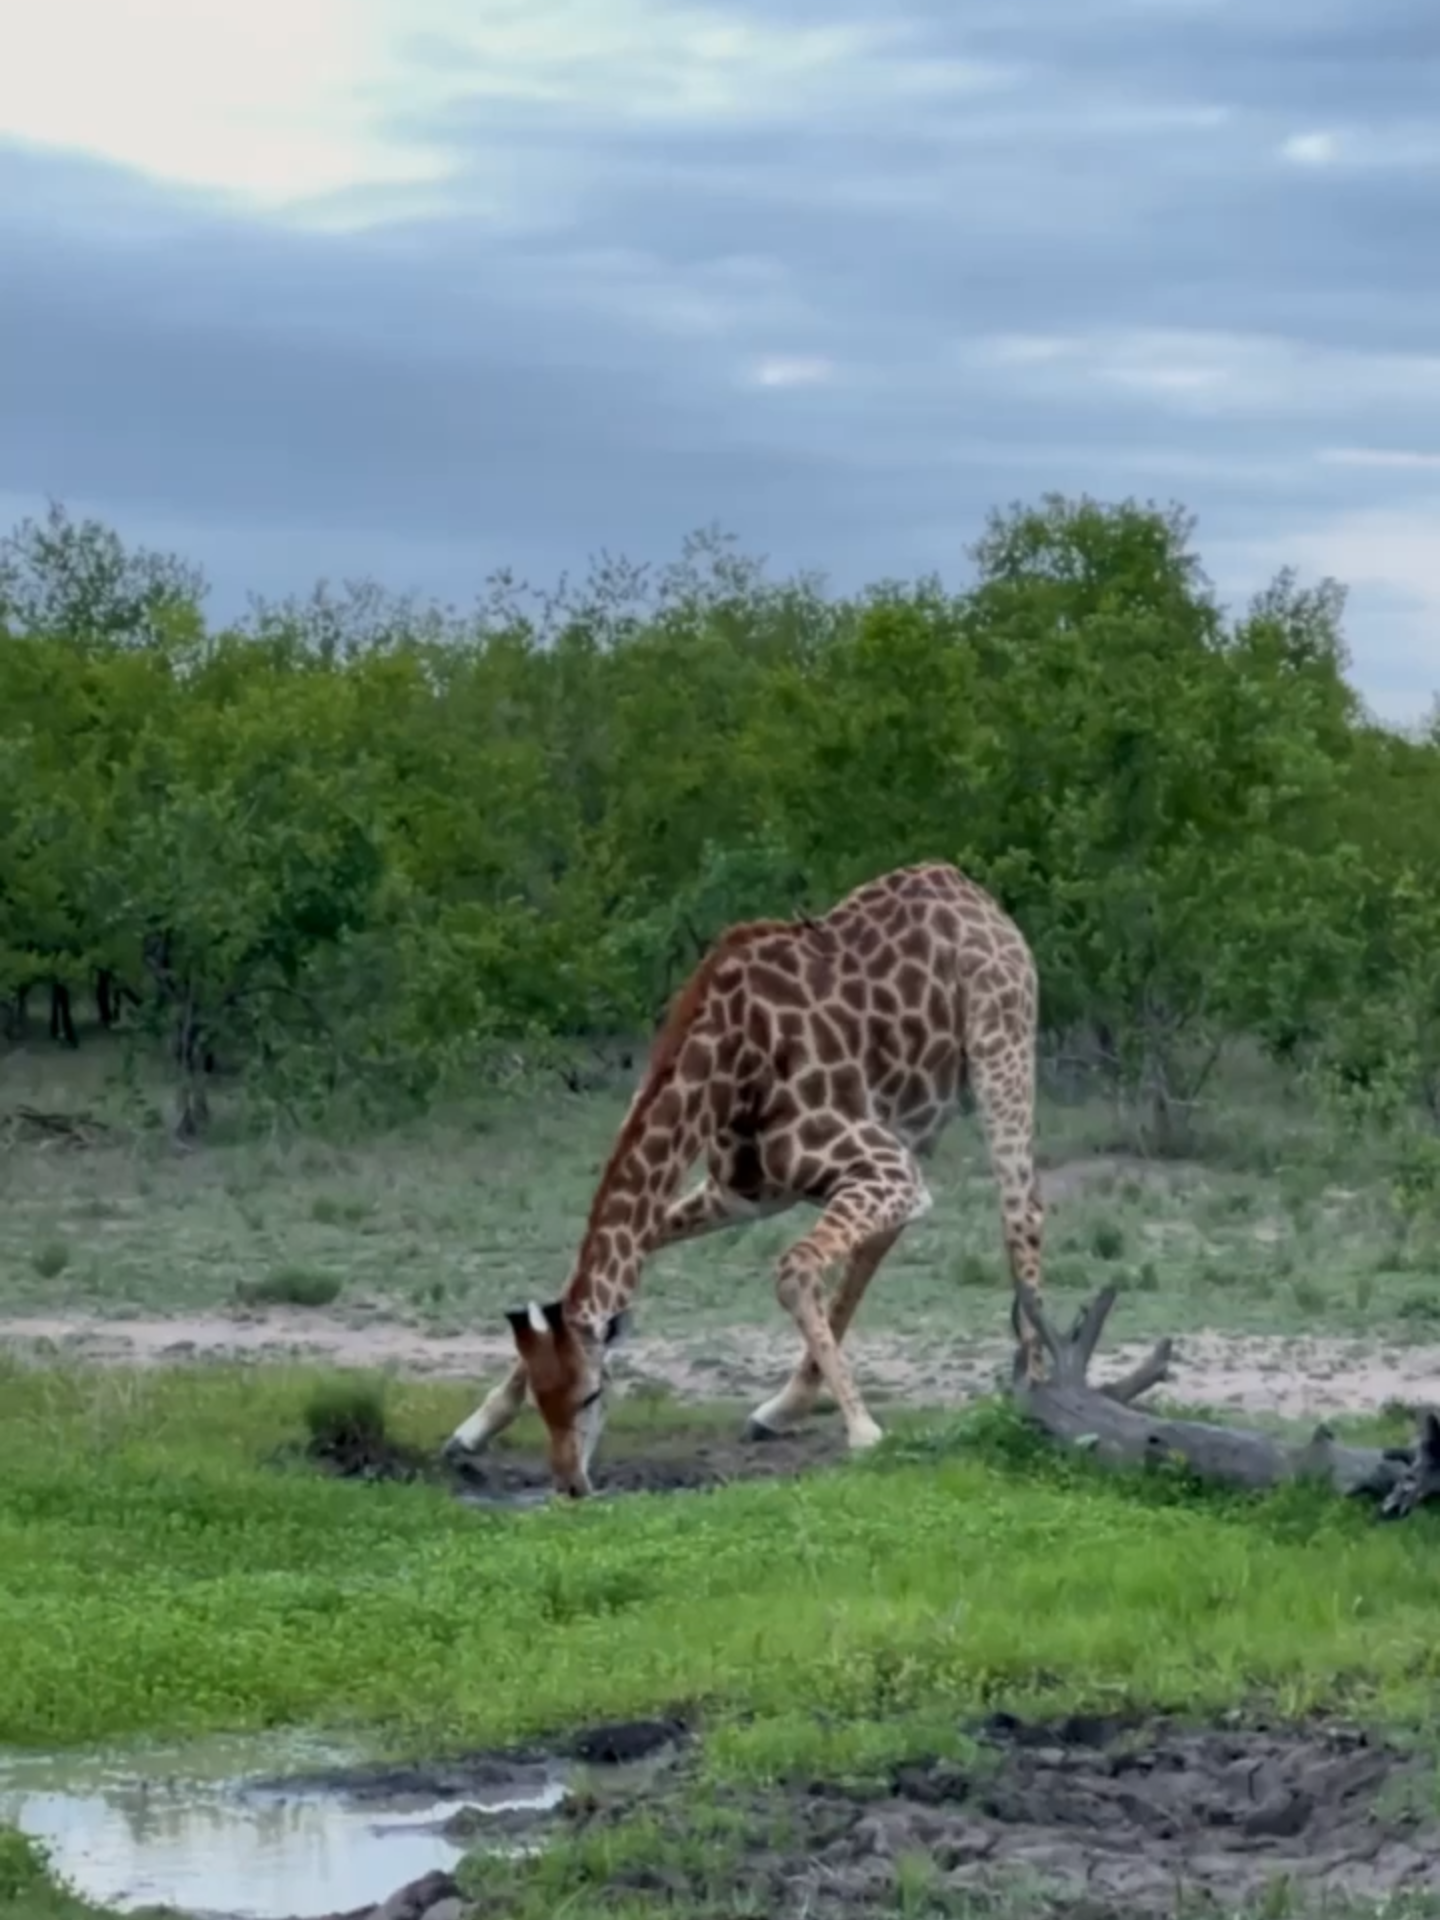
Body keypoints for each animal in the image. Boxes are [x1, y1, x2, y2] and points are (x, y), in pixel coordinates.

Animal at [443, 860, 1052, 1497]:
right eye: (543, 1401)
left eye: (591, 1395)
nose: (570, 1486)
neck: (724, 1071)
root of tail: (970, 889)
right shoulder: (742, 1192)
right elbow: (629, 1257)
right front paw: (473, 1429)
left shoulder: (884, 1168)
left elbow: (793, 1269)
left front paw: (863, 1432)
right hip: (912, 1112)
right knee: (886, 1237)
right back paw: (782, 1409)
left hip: (999, 1041)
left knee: (1022, 1208)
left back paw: (1037, 1395)